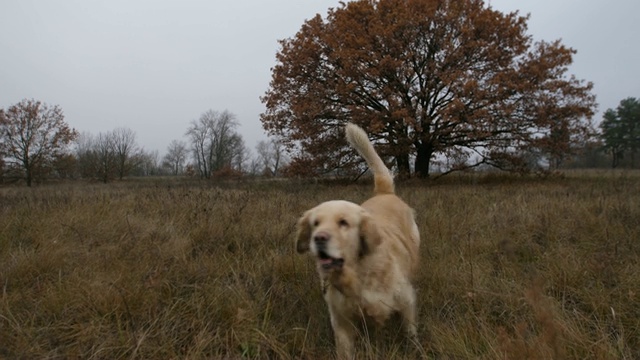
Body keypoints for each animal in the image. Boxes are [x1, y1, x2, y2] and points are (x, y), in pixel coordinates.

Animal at [296, 122, 420, 358]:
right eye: (315, 223)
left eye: (343, 222)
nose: (319, 238)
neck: (357, 275)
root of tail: (384, 193)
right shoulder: (341, 320)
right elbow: (345, 350)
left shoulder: (406, 302)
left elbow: (410, 332)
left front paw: (415, 348)